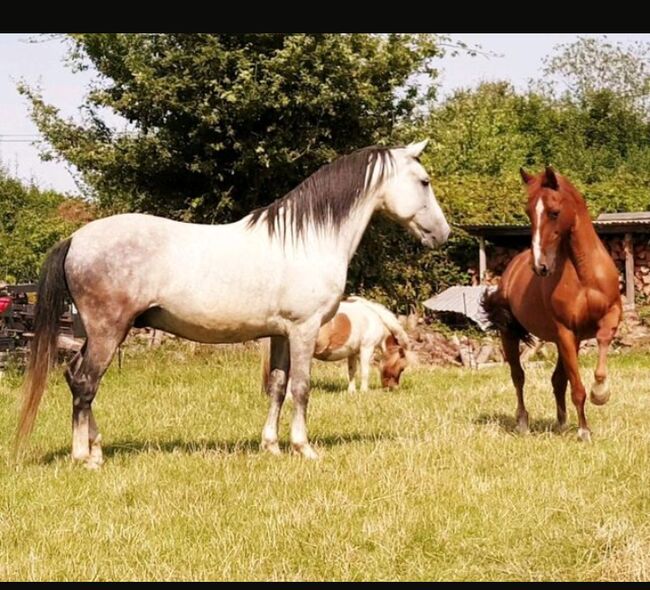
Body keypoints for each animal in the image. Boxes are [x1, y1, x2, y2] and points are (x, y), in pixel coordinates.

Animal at [16, 140, 450, 468]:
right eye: (424, 181)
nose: (443, 234)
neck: (308, 238)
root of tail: (76, 239)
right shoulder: (304, 329)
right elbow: (301, 388)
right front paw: (304, 448)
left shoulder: (281, 334)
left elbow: (277, 387)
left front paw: (271, 445)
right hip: (108, 332)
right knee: (86, 383)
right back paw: (84, 457)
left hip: (96, 334)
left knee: (74, 376)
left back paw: (96, 448)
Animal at [484, 166, 620, 444]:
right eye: (528, 212)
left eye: (554, 212)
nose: (540, 266)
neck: (584, 274)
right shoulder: (566, 331)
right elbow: (577, 388)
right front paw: (584, 432)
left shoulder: (610, 315)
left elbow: (602, 340)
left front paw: (601, 391)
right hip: (510, 334)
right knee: (518, 377)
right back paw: (523, 423)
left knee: (557, 380)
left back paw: (561, 422)